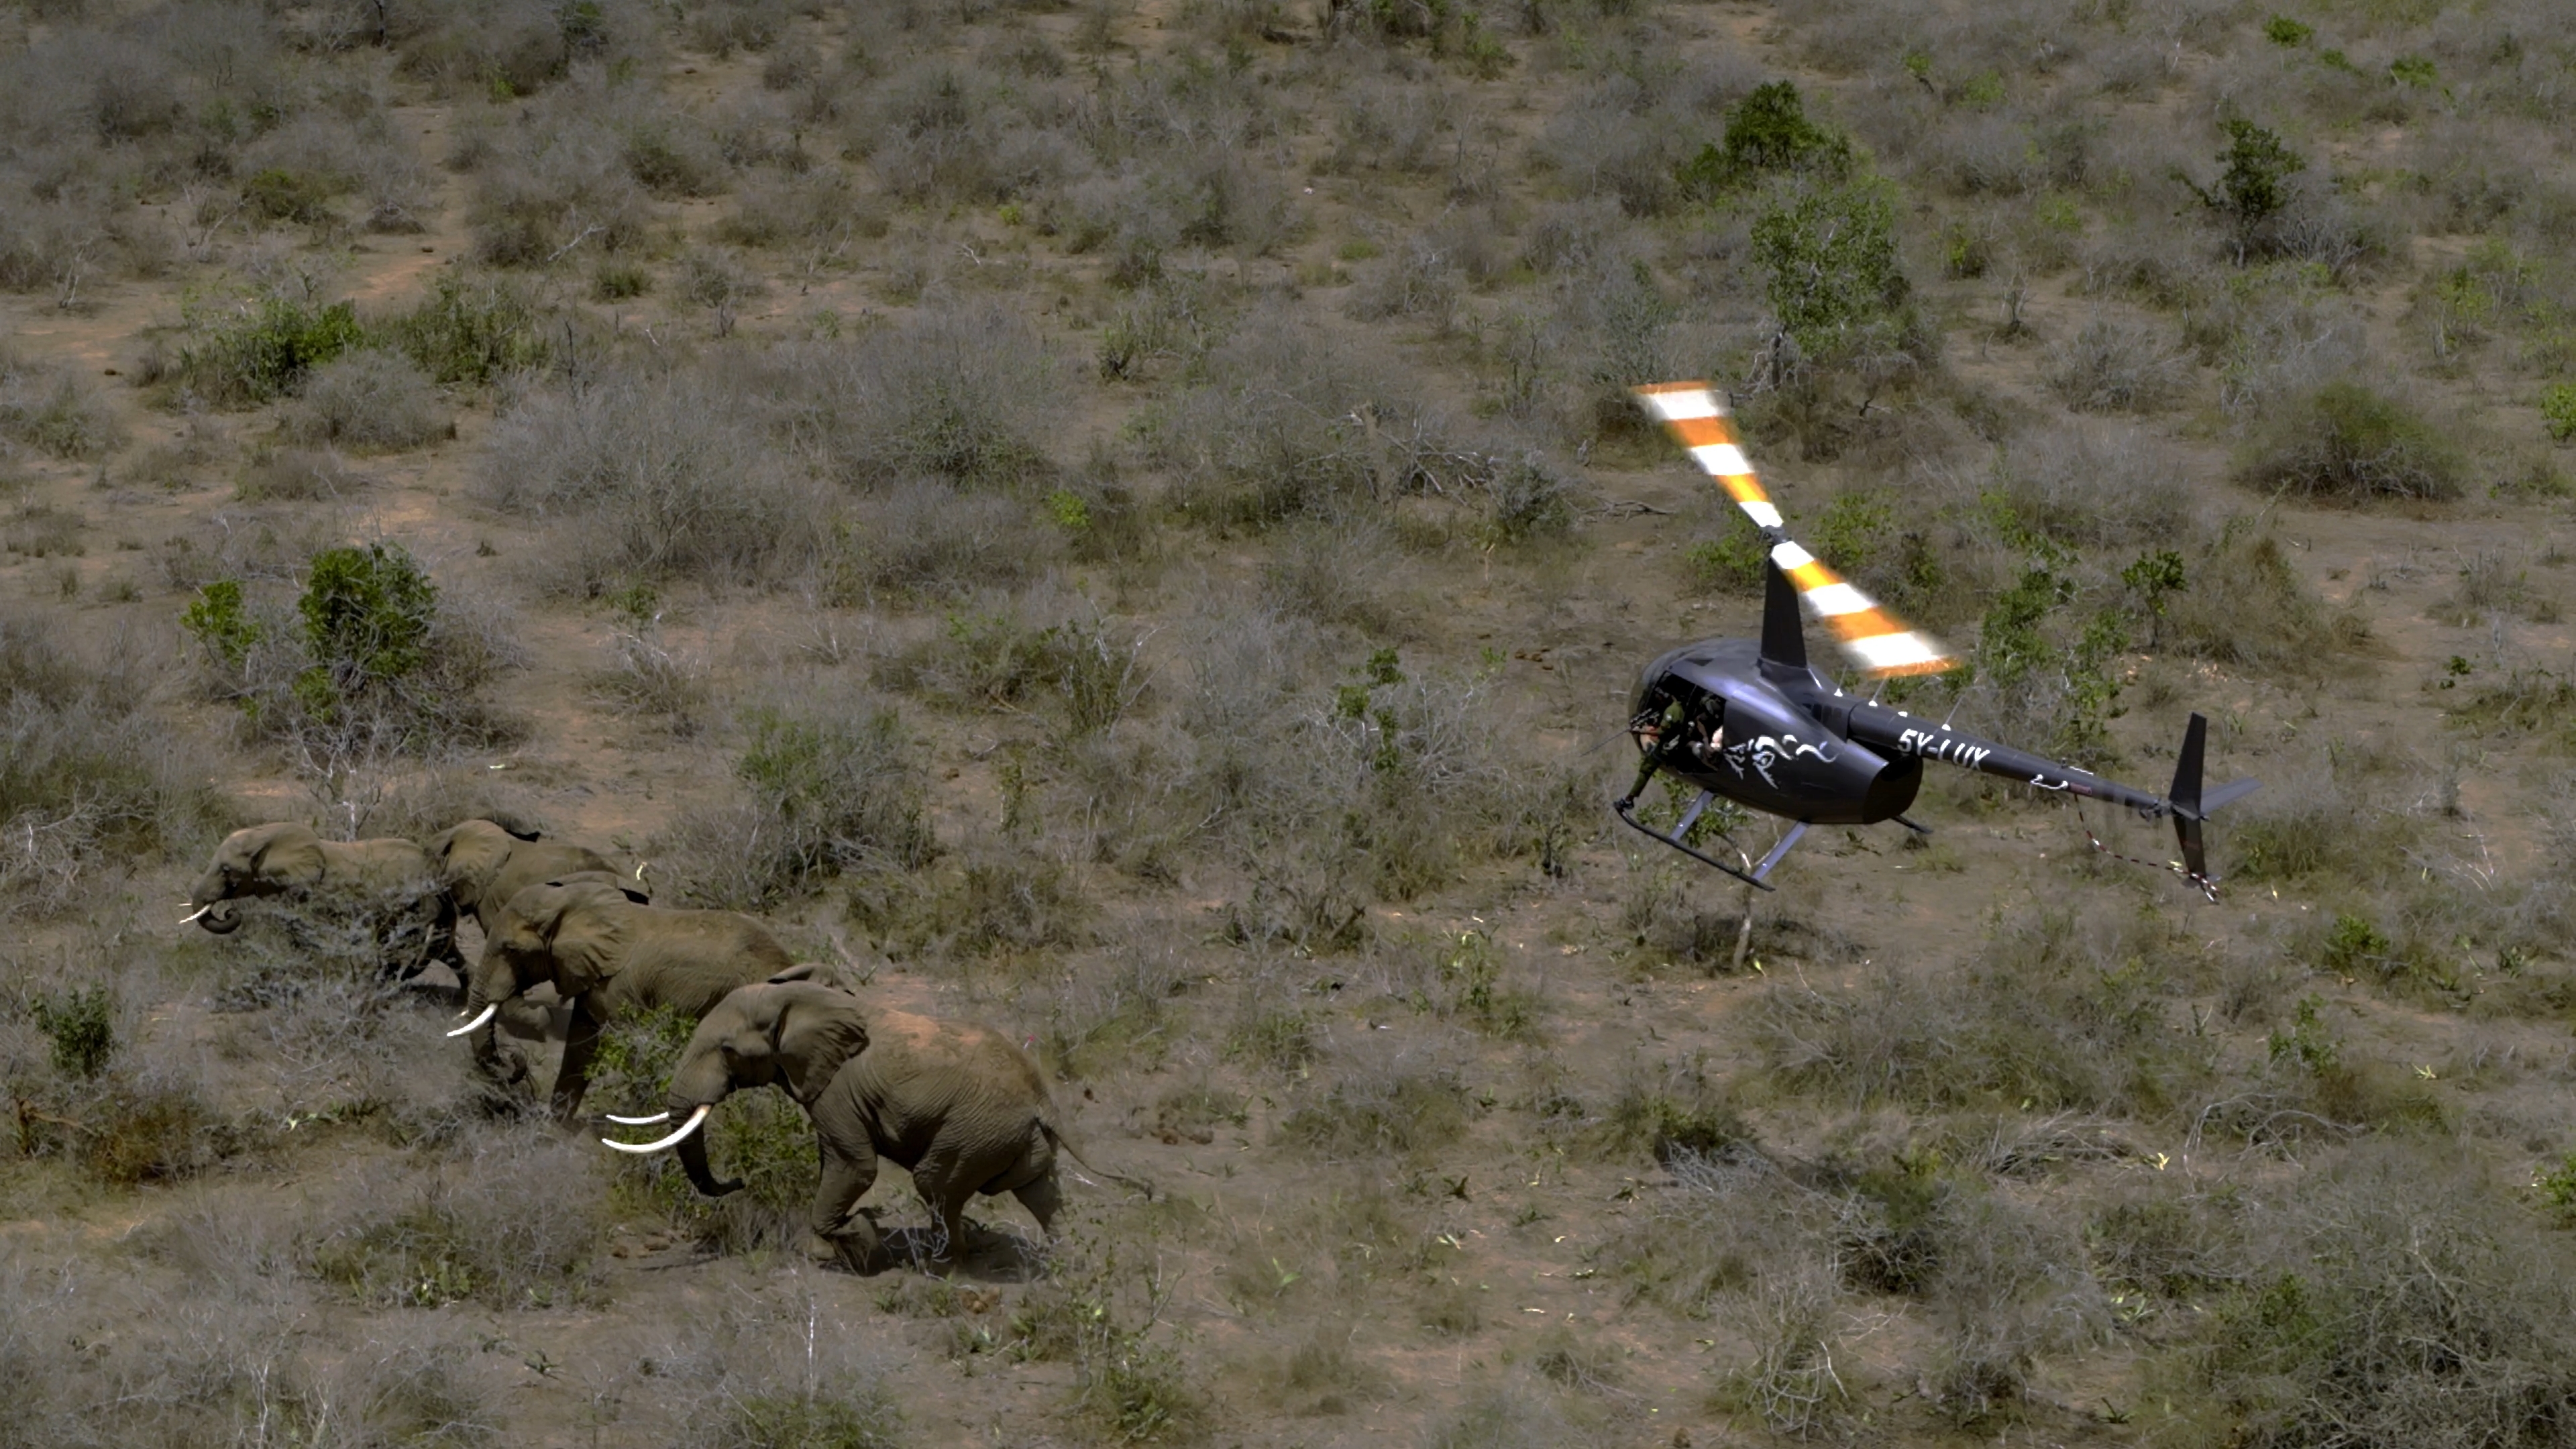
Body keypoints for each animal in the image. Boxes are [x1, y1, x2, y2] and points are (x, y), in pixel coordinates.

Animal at [447, 875, 795, 1121]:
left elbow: (631, 1043)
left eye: (512, 950)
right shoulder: (590, 978)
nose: (514, 1056)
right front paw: (554, 1129)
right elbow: (581, 1046)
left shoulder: (620, 986)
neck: (569, 905)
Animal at [602, 981, 1149, 1273]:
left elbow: (854, 1166)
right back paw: (1062, 1262)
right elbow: (836, 1162)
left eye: (728, 1050)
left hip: (976, 1129)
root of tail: (1044, 1098)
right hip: (1016, 1137)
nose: (738, 1182)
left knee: (937, 1184)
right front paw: (848, 1237)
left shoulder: (837, 1091)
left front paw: (848, 1241)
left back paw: (943, 1262)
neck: (800, 998)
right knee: (1039, 1190)